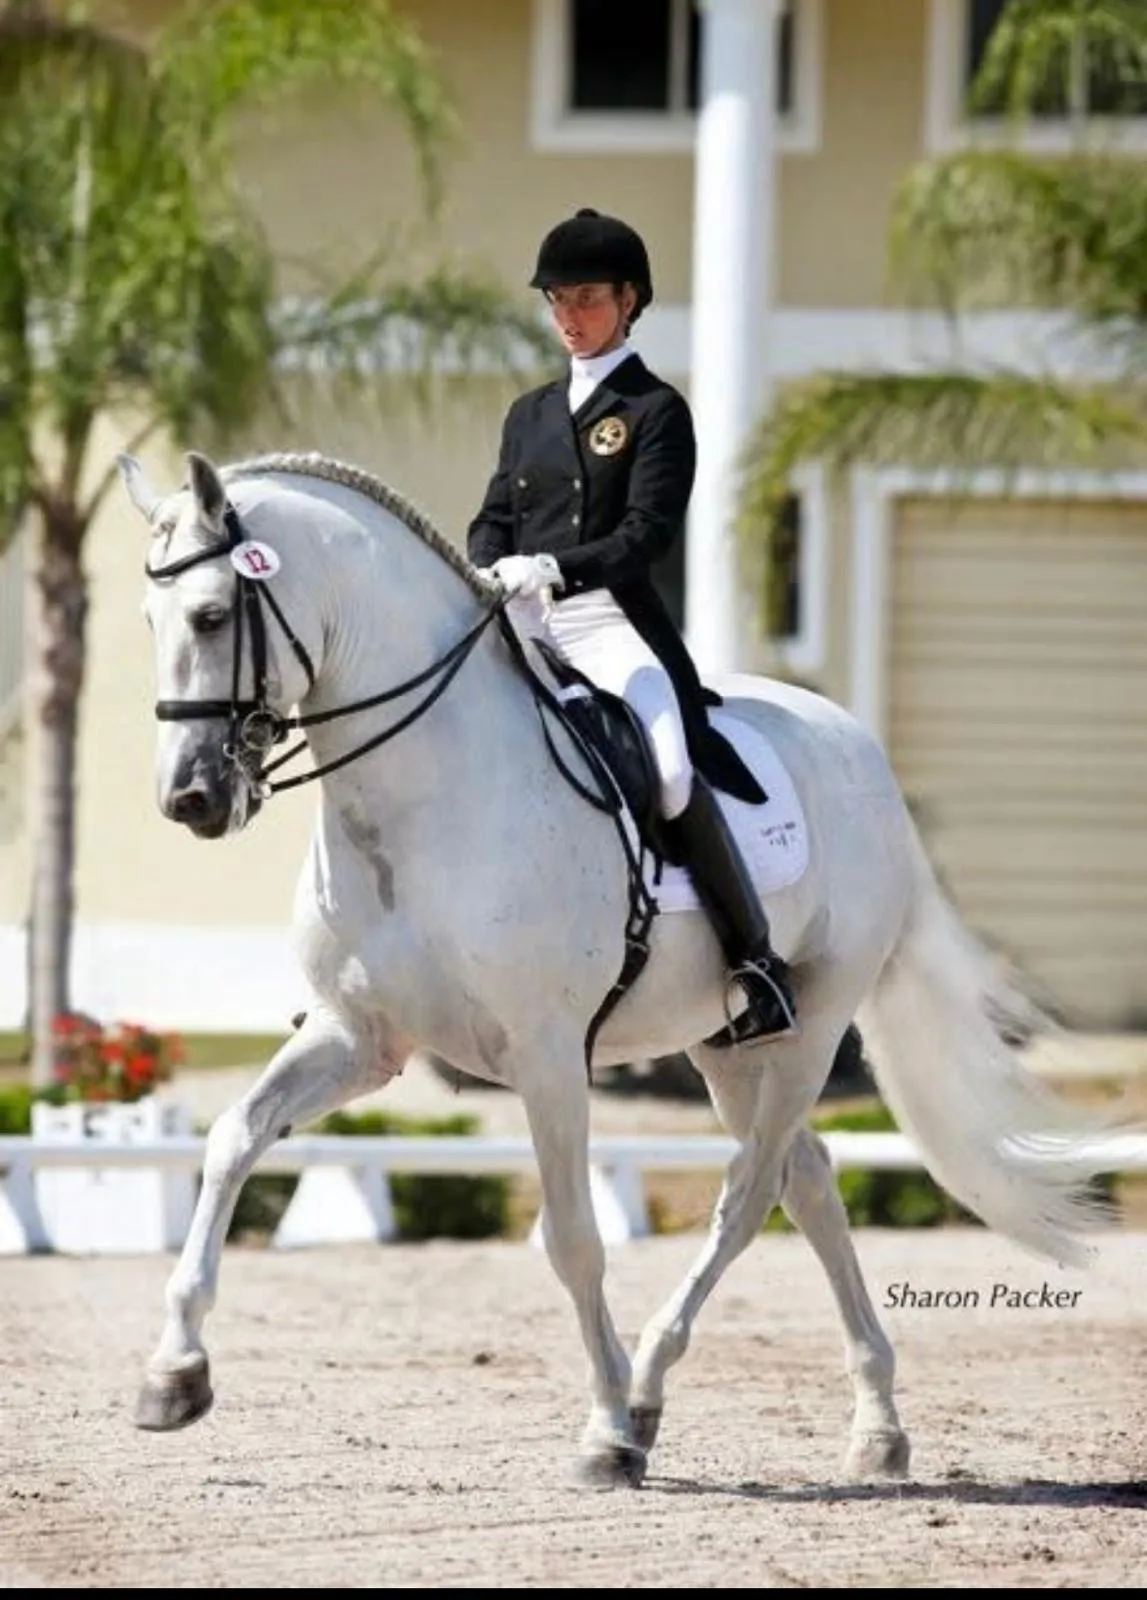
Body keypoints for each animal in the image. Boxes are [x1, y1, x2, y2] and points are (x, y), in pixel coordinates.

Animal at [116, 445, 1127, 1490]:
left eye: (211, 615)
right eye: (149, 618)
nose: (191, 800)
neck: (421, 798)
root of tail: (859, 748)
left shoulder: (547, 1053)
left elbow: (571, 1235)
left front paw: (601, 1428)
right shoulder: (359, 1036)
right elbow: (233, 1137)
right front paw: (174, 1374)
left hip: (814, 1020)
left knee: (749, 1191)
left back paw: (645, 1393)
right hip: (728, 1042)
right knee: (804, 1176)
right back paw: (871, 1422)